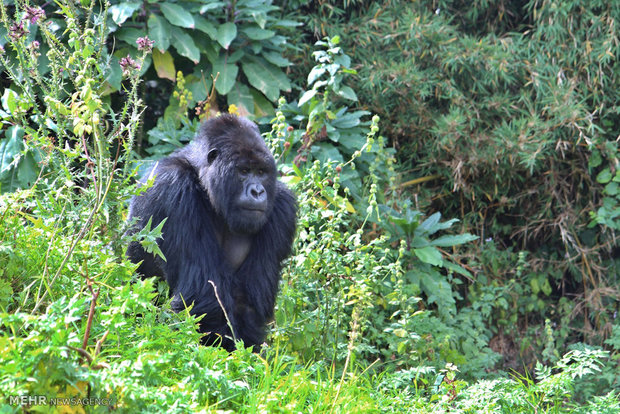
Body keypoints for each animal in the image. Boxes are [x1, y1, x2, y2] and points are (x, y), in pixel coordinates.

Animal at [126, 115, 296, 350]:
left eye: (261, 172)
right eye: (244, 171)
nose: (258, 191)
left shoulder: (282, 207)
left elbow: (249, 304)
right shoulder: (172, 187)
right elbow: (202, 297)